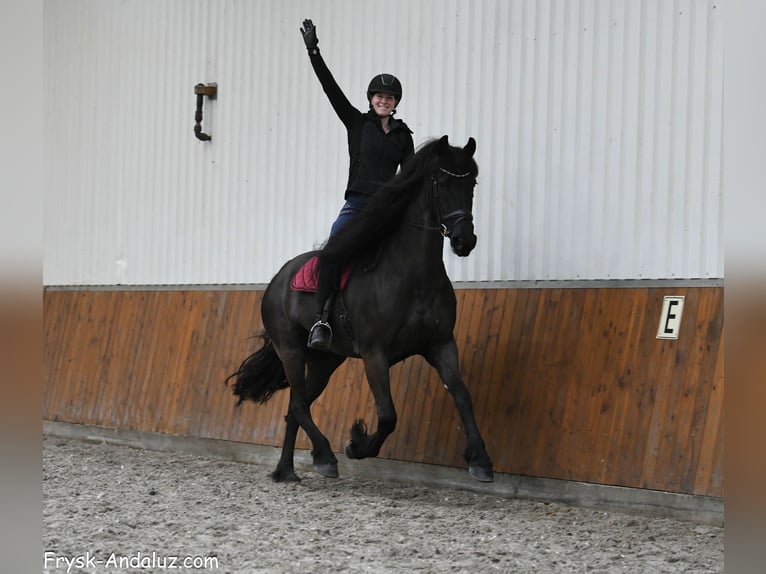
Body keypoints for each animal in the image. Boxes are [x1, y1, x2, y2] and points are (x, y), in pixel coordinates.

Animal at [228, 135, 494, 483]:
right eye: (443, 182)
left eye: (471, 183)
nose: (465, 241)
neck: (414, 278)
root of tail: (277, 280)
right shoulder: (374, 353)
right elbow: (388, 415)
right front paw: (356, 444)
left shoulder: (440, 345)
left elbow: (463, 395)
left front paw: (480, 460)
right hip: (290, 350)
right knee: (299, 404)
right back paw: (325, 456)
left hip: (326, 361)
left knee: (295, 407)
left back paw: (287, 470)